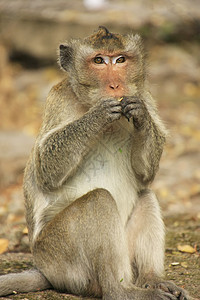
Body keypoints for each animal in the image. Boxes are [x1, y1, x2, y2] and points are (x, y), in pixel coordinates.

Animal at [0, 27, 189, 298]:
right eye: (99, 60)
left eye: (120, 60)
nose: (115, 85)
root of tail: (44, 270)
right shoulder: (58, 100)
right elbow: (45, 168)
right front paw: (98, 114)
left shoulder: (145, 96)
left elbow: (145, 175)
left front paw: (140, 115)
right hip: (60, 257)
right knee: (98, 200)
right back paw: (121, 290)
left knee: (145, 195)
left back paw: (152, 280)